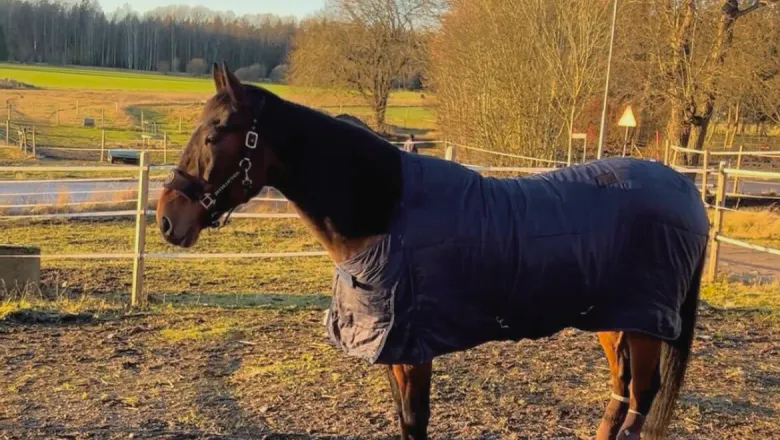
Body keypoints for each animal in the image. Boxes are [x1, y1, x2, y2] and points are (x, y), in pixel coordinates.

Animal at [157, 62, 709, 440]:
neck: (383, 209)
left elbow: (415, 422)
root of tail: (685, 187)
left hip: (645, 324)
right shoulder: (393, 350)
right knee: (621, 390)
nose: (166, 218)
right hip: (615, 319)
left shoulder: (413, 347)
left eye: (214, 134)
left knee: (641, 397)